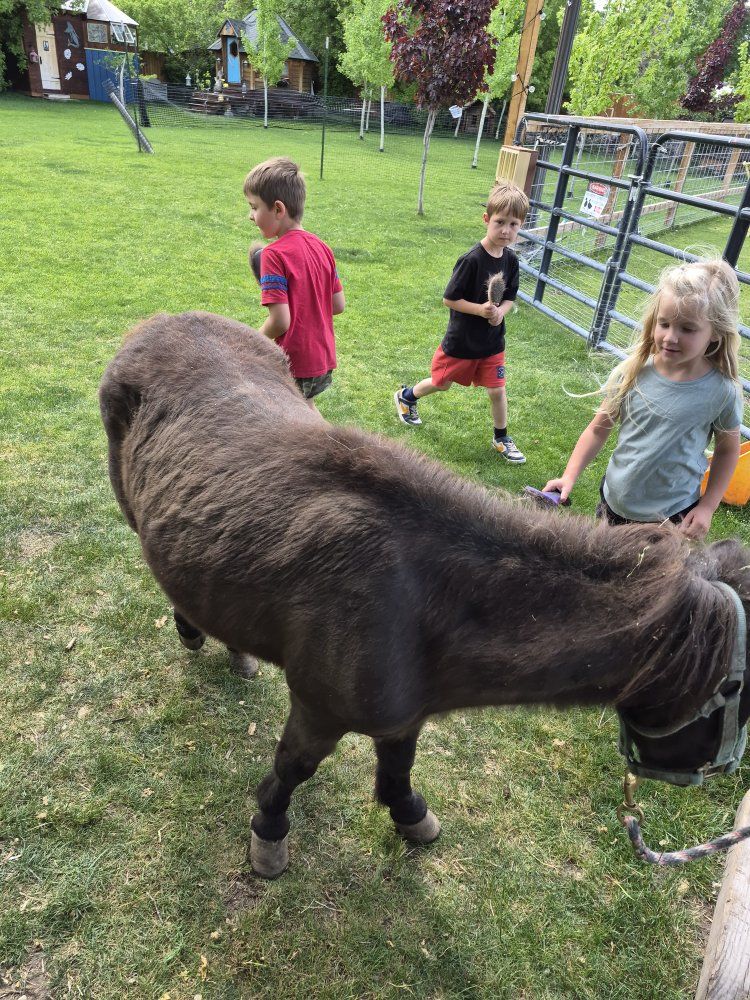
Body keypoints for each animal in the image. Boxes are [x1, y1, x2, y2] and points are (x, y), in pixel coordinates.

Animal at [99, 311, 750, 878]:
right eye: (738, 691)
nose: (706, 773)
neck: (423, 598)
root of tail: (159, 325)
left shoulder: (404, 716)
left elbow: (396, 775)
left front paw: (411, 817)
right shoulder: (318, 707)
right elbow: (292, 769)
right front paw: (269, 833)